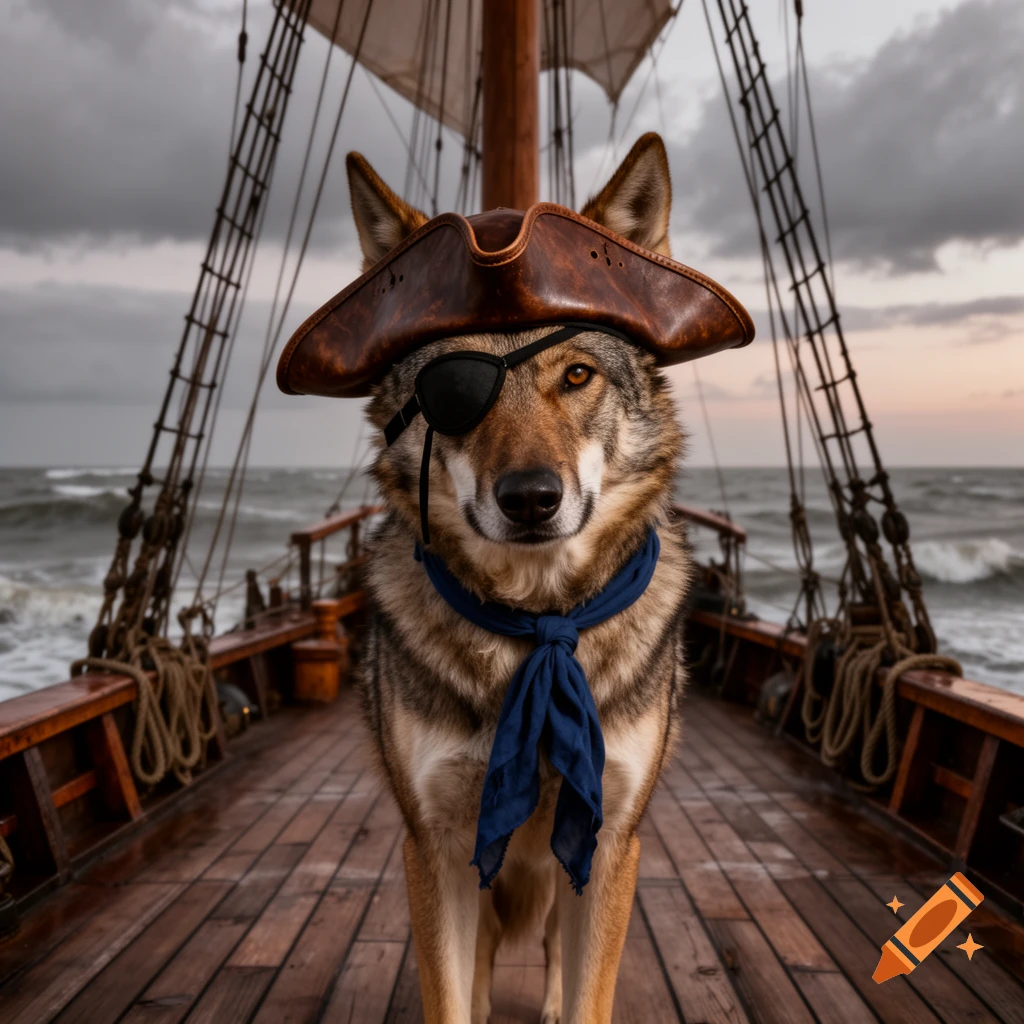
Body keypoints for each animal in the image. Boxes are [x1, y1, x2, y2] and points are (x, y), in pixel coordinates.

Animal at [352, 133, 691, 1023]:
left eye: (575, 376)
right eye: (453, 393)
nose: (533, 499)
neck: (539, 622)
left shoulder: (608, 843)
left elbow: (588, 997)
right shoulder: (435, 847)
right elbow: (450, 997)